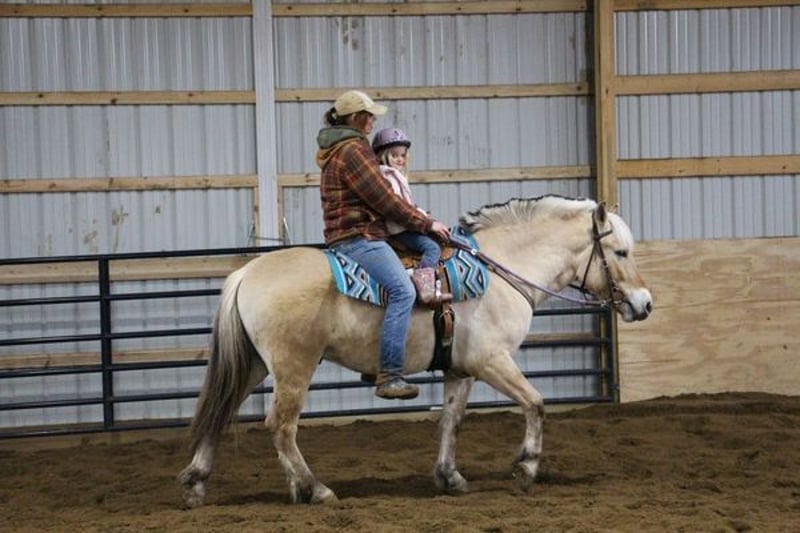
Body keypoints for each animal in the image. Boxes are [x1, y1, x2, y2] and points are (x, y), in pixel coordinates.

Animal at [178, 195, 653, 506]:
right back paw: (315, 488)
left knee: (221, 412)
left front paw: (449, 477)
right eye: (620, 252)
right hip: (294, 366)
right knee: (280, 426)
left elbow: (451, 422)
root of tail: (247, 273)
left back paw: (199, 482)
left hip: (255, 365)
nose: (644, 304)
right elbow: (535, 404)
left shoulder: (460, 369)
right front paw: (526, 467)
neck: (500, 271)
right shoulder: (491, 361)